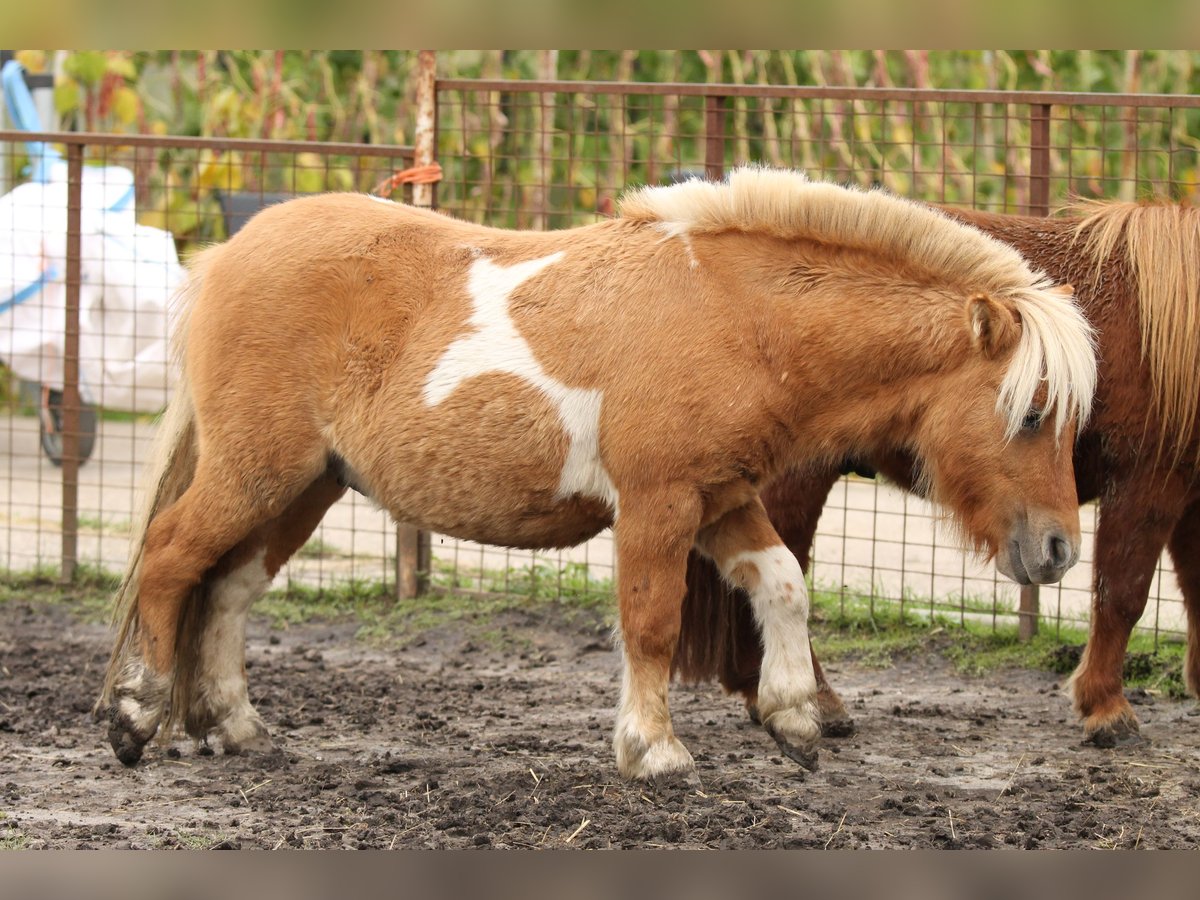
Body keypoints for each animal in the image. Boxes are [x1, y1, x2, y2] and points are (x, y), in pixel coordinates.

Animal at [98, 169, 1099, 782]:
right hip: (256, 471)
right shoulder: (658, 505)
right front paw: (653, 750)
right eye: (1031, 412)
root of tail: (228, 255)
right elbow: (652, 623)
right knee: (171, 558)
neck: (734, 316)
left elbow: (783, 584)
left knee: (227, 588)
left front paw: (792, 718)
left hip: (306, 485)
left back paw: (232, 726)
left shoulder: (722, 497)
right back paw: (136, 717)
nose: (1057, 550)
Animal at [681, 200, 1200, 748]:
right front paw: (1106, 707)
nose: (1059, 550)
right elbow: (1122, 594)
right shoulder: (1150, 482)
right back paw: (812, 699)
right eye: (1032, 415)